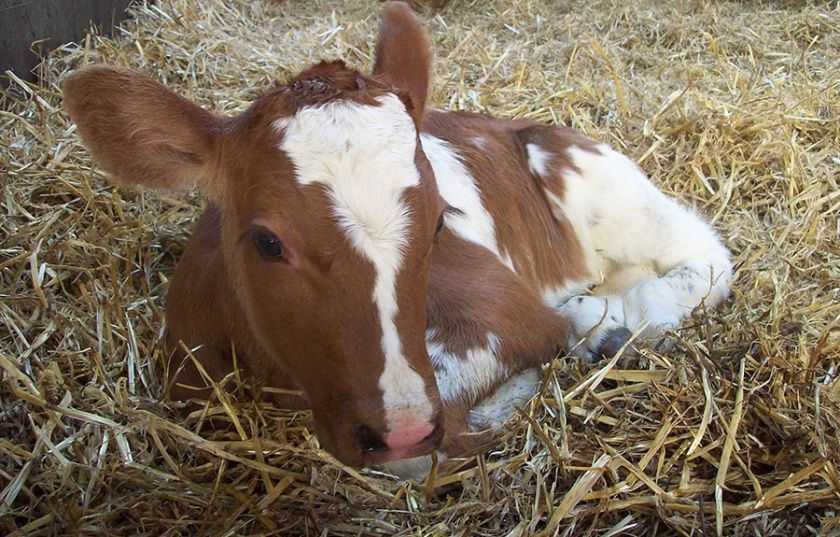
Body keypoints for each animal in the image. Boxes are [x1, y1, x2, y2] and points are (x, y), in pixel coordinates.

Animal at [64, 3, 728, 474]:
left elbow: (437, 440)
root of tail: (521, 125)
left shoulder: (506, 314)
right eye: (267, 242)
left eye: (439, 221)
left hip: (612, 194)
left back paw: (608, 324)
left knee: (706, 257)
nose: (401, 428)